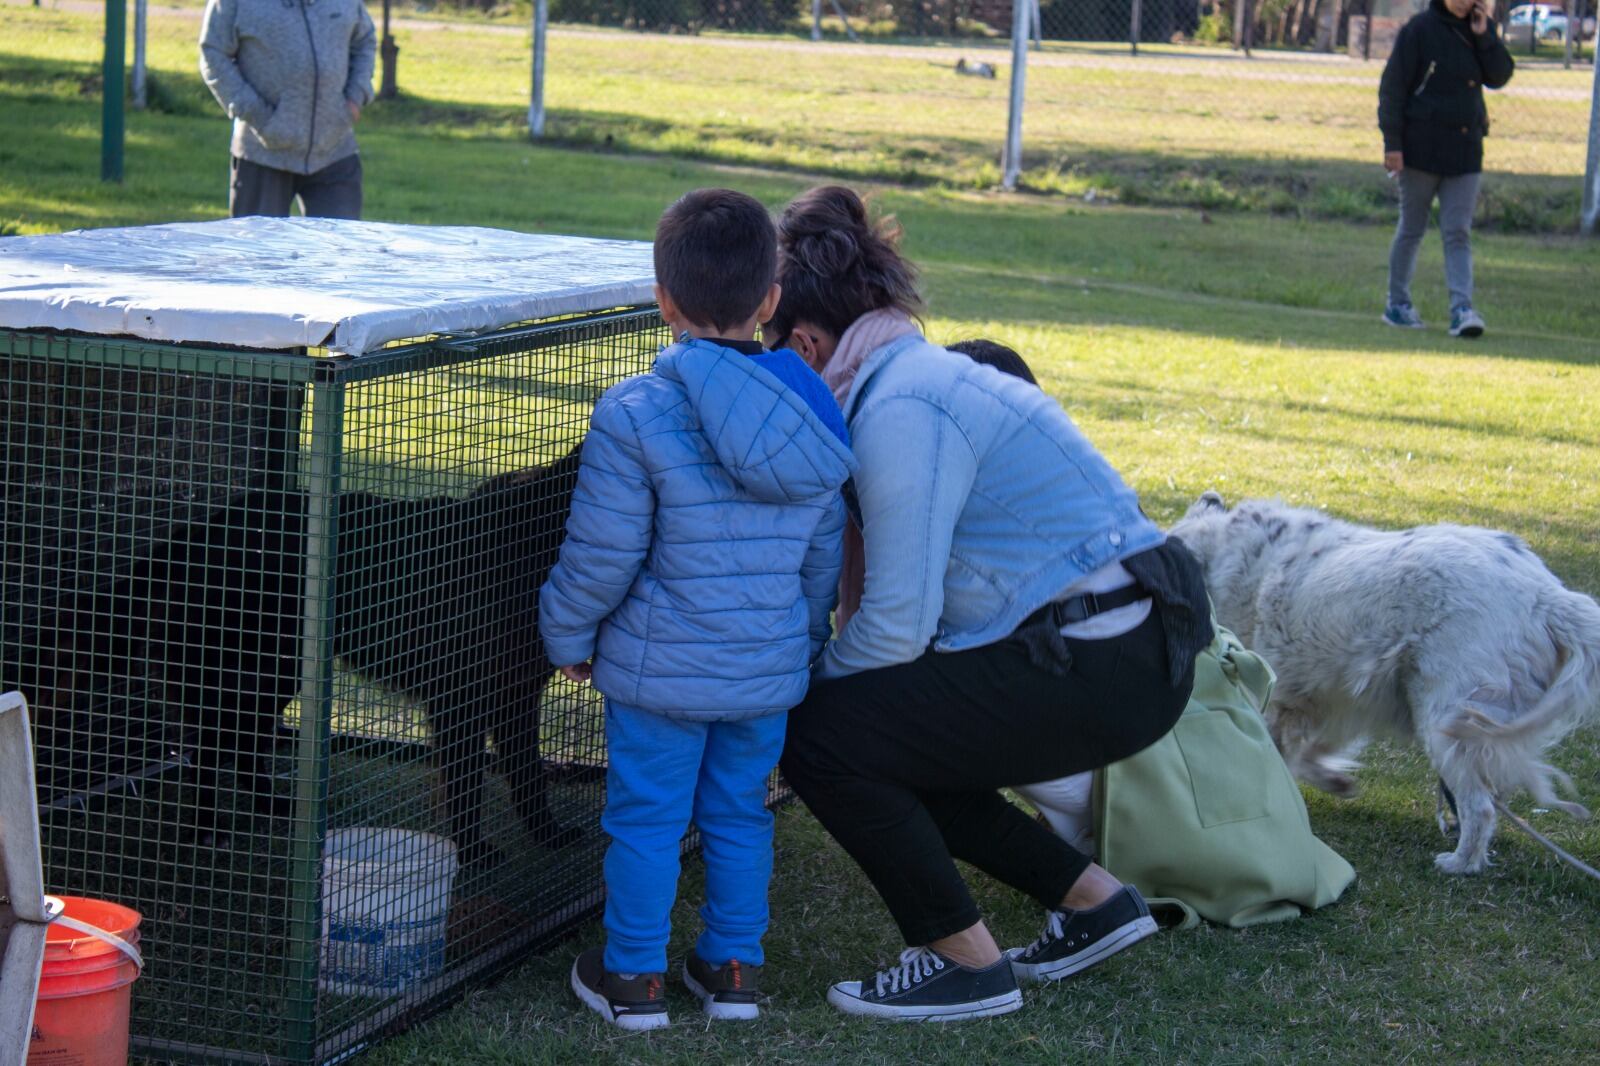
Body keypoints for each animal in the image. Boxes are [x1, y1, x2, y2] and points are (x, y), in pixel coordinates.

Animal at [15, 444, 592, 870]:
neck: (538, 540)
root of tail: (189, 539)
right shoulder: (459, 706)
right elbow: (468, 789)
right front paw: (473, 855)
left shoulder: (517, 698)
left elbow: (529, 776)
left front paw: (546, 835)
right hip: (241, 672)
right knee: (210, 752)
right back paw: (207, 830)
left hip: (278, 672)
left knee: (244, 746)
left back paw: (273, 806)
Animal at [1164, 492, 1600, 870]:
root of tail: (1546, 597)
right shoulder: (1331, 700)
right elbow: (1312, 752)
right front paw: (1337, 782)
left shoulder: (1287, 700)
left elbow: (1283, 754)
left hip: (1444, 720)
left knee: (1481, 806)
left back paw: (1459, 863)